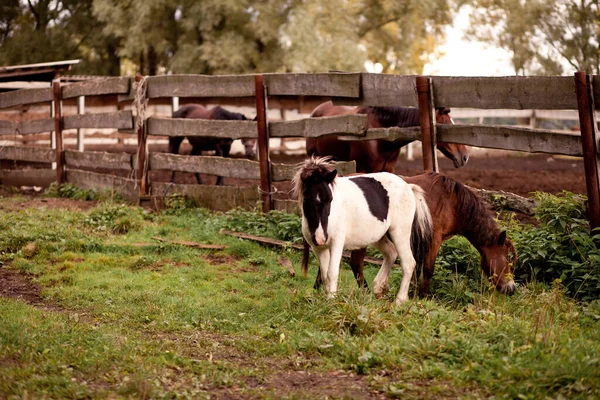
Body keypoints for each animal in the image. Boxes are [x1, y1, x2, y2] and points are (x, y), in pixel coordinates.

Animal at [292, 156, 434, 304]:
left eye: (330, 199)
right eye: (307, 199)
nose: (320, 238)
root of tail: (408, 187)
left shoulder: (336, 243)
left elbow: (332, 272)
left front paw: (332, 300)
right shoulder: (318, 248)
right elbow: (325, 275)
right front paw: (327, 299)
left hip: (400, 233)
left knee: (408, 263)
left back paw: (399, 300)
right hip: (379, 236)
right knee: (391, 253)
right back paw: (378, 288)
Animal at [302, 172, 516, 296]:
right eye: (507, 258)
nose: (511, 288)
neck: (450, 201)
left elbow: (416, 268)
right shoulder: (433, 238)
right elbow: (427, 269)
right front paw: (422, 296)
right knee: (356, 264)